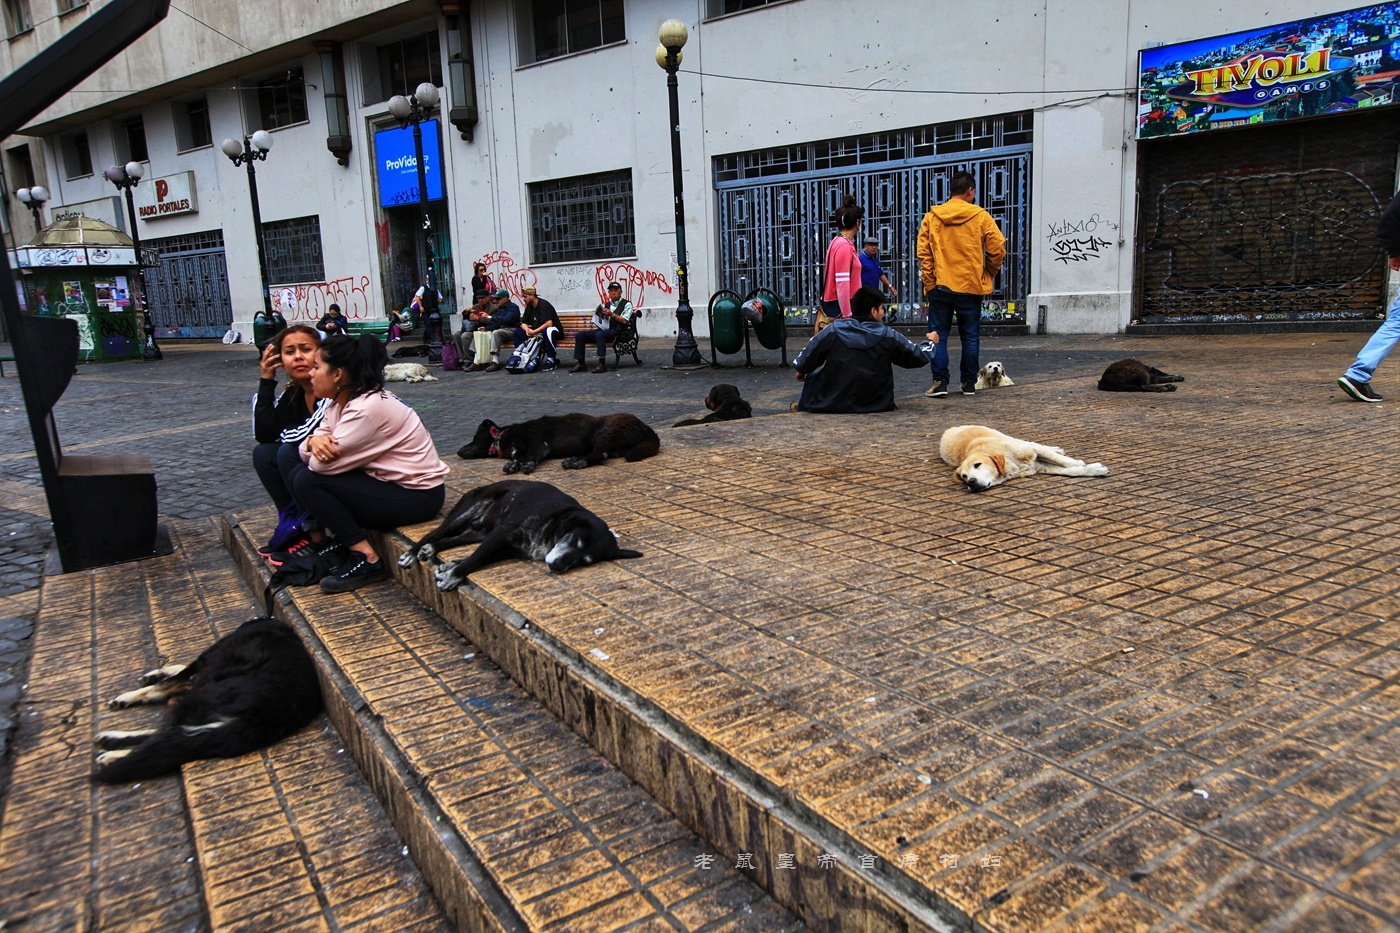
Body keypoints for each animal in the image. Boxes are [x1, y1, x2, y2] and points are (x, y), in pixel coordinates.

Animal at [93, 616, 322, 784]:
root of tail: (262, 716)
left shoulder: (204, 663)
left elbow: (164, 686)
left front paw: (129, 695)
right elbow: (177, 674)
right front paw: (158, 673)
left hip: (203, 693)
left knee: (163, 737)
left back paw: (112, 751)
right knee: (167, 735)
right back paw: (110, 742)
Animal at [397, 479, 641, 588]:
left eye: (585, 561)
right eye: (574, 540)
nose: (557, 566)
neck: (553, 525)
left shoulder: (508, 547)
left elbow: (477, 558)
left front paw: (451, 566)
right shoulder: (502, 533)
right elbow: (475, 558)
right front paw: (454, 575)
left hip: (480, 533)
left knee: (452, 539)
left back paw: (432, 550)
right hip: (464, 514)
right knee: (433, 534)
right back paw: (413, 552)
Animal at [456, 411, 658, 473]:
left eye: (474, 436)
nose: (458, 451)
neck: (504, 436)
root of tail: (644, 425)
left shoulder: (539, 443)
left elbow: (528, 457)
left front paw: (523, 465)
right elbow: (518, 457)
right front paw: (514, 463)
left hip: (604, 431)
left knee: (599, 453)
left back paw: (578, 461)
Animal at [940, 423, 1103, 490]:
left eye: (977, 465)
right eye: (964, 476)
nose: (971, 483)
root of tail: (948, 430)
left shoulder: (1031, 450)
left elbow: (1062, 461)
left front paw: (1077, 462)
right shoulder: (1040, 467)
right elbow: (1070, 471)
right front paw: (1095, 470)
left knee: (1037, 444)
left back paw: (1056, 449)